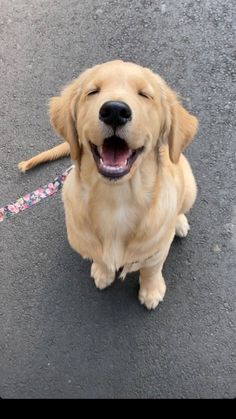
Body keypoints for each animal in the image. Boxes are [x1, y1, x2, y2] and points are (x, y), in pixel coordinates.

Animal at [19, 60, 198, 310]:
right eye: (93, 92)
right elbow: (100, 258)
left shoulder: (156, 250)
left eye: (144, 95)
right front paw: (103, 272)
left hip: (189, 183)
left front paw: (151, 291)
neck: (116, 200)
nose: (114, 111)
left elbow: (151, 268)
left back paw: (179, 223)